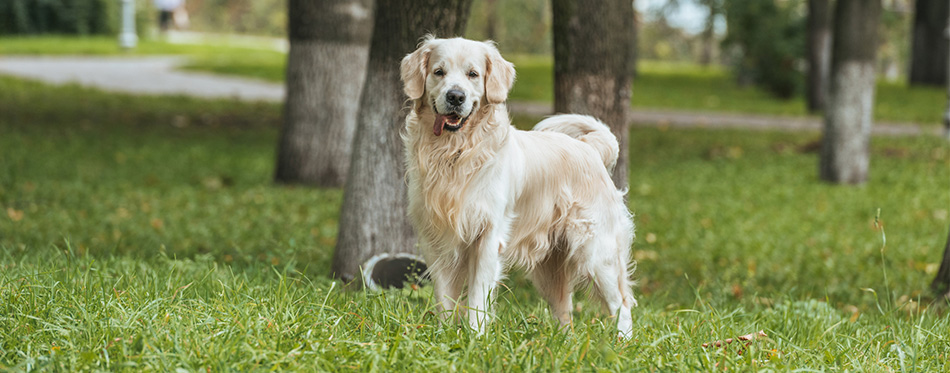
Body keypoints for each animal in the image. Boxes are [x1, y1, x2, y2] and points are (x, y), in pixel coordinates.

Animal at [402, 35, 640, 338]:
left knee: (621, 304)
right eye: (438, 72)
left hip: (597, 252)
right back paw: (565, 342)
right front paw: (445, 337)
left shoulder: (488, 236)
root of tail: (589, 148)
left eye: (473, 74)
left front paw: (476, 337)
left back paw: (622, 343)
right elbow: (444, 298)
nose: (456, 96)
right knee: (565, 309)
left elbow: (477, 295)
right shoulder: (436, 239)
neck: (455, 154)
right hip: (550, 267)